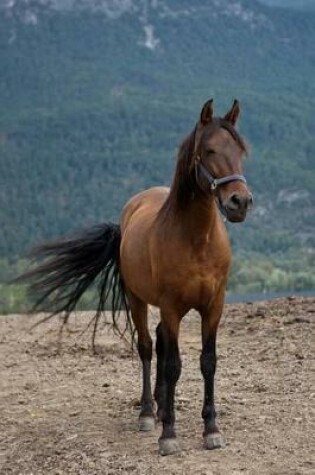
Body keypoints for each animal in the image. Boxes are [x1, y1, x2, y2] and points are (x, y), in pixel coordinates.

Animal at [17, 99, 254, 458]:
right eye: (209, 149)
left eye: (240, 150)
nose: (240, 202)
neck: (197, 240)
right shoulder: (170, 306)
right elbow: (173, 365)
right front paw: (168, 434)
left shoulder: (214, 306)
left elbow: (207, 362)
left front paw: (211, 429)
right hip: (137, 299)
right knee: (147, 346)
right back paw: (147, 412)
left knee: (159, 341)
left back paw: (160, 404)